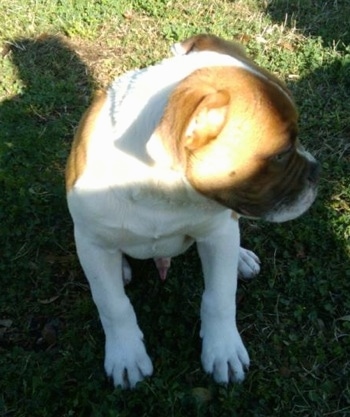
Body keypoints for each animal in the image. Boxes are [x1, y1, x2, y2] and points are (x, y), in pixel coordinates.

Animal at [65, 34, 320, 388]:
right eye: (281, 155)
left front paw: (223, 350)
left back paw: (240, 258)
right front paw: (126, 355)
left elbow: (219, 297)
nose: (316, 170)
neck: (163, 191)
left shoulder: (216, 233)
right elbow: (113, 305)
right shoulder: (91, 243)